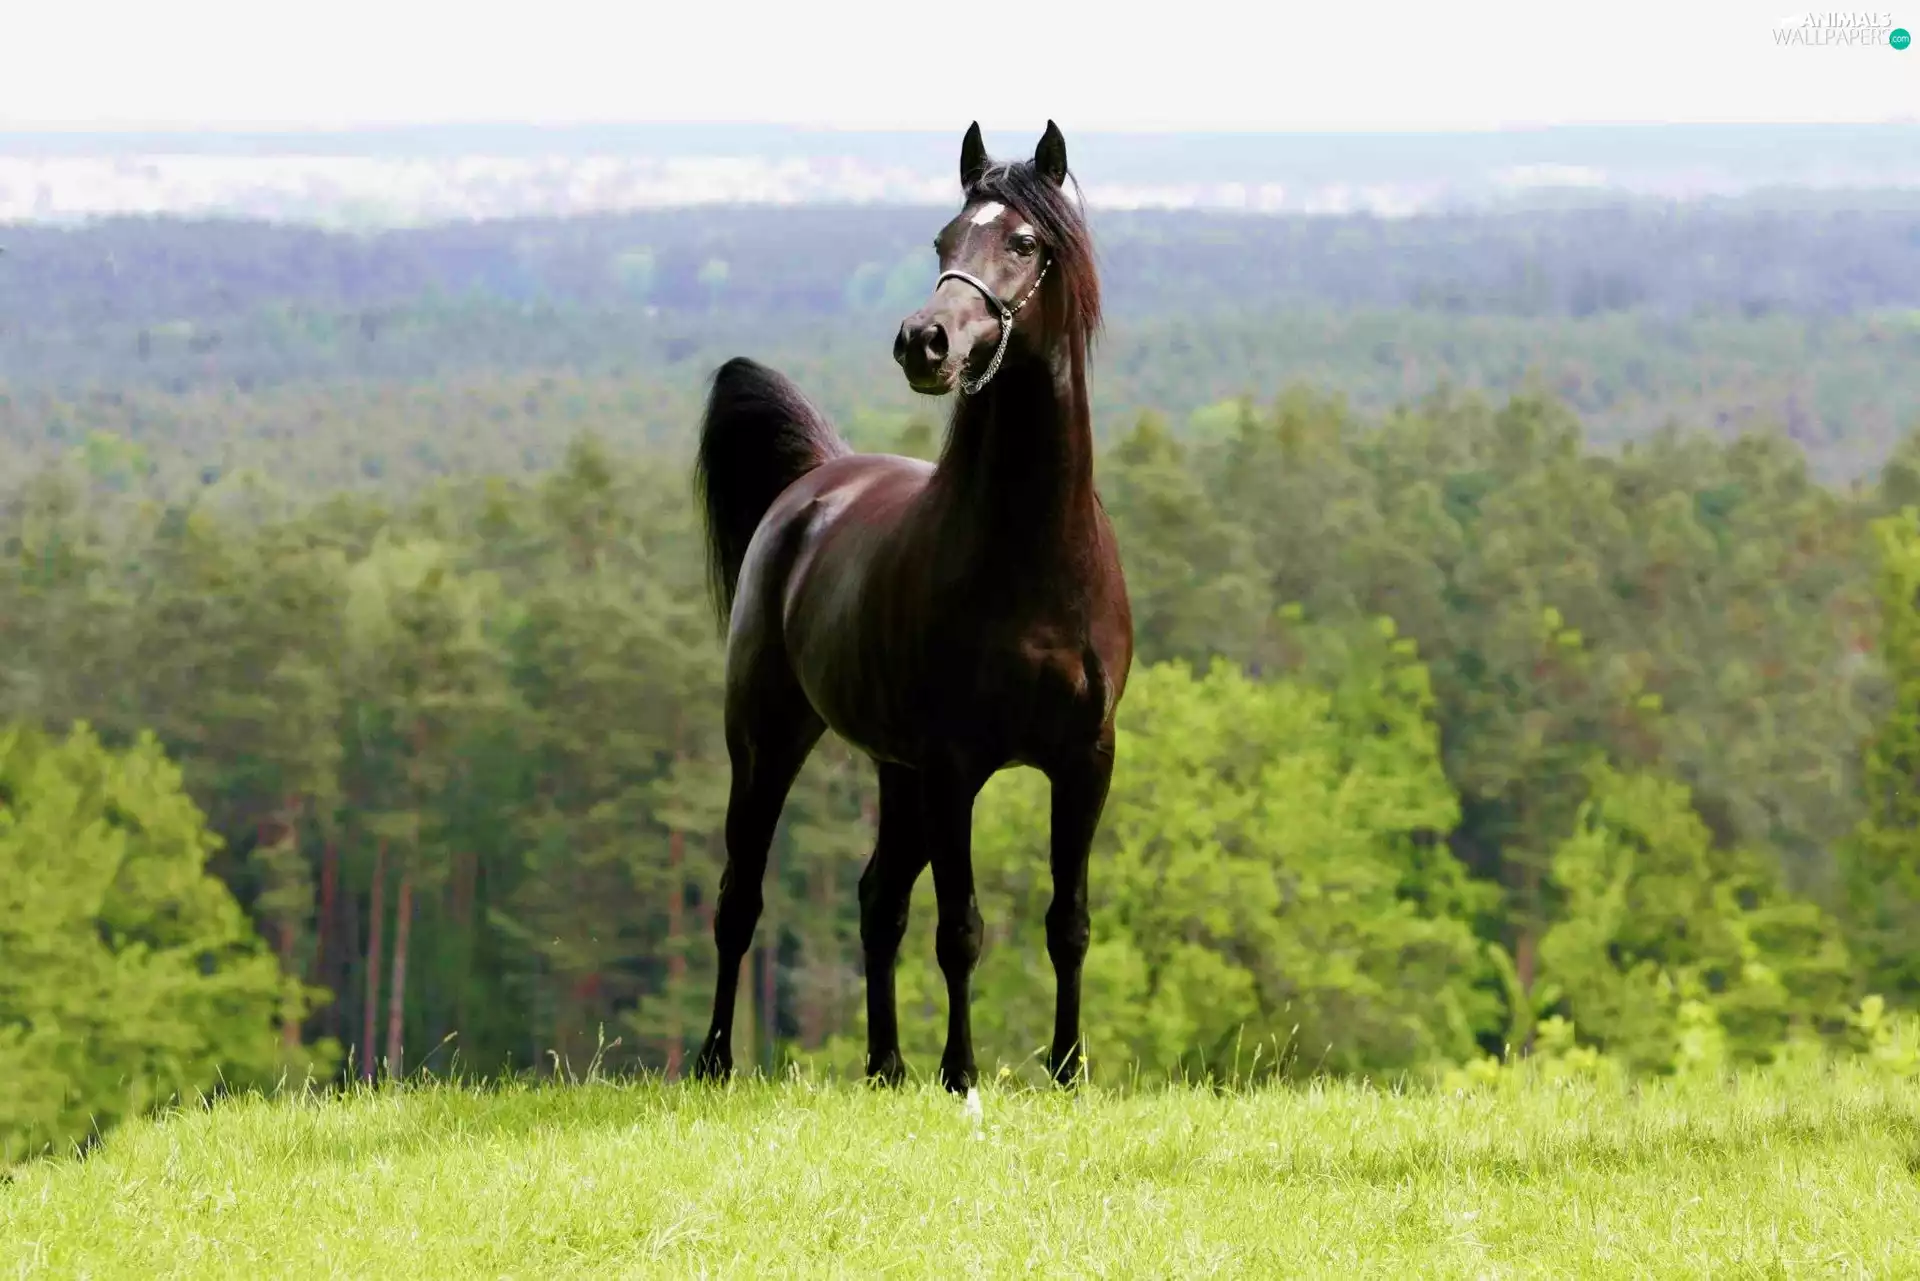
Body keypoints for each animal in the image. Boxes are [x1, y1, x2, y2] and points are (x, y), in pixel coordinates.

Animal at [689, 120, 1132, 1094]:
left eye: (1024, 243)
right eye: (943, 240)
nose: (924, 340)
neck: (1036, 557)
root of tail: (814, 481)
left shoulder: (1083, 760)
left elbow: (1068, 920)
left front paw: (1068, 1070)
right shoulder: (957, 765)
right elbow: (960, 928)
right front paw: (960, 1073)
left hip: (897, 772)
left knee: (875, 897)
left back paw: (885, 1063)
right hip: (767, 741)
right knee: (741, 895)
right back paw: (714, 1059)